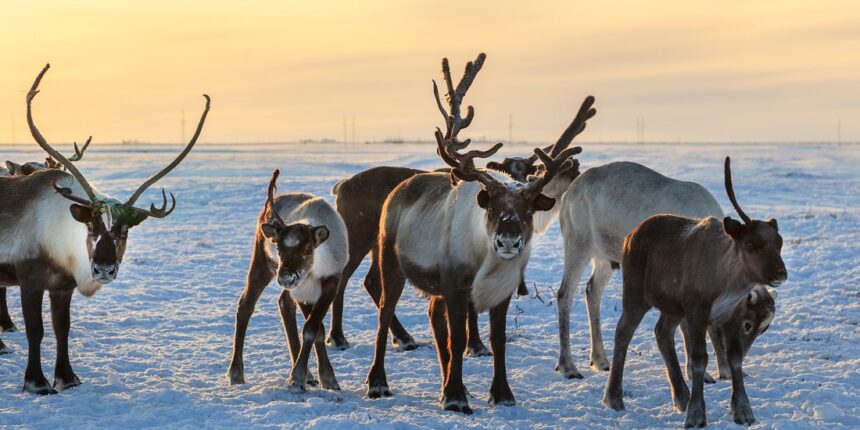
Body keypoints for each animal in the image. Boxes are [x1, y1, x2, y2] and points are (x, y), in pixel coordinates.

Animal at [227, 170, 348, 392]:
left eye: (308, 248)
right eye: (279, 248)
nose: (285, 277)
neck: (316, 269)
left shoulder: (331, 283)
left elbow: (313, 329)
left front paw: (324, 378)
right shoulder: (301, 290)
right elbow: (314, 330)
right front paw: (298, 378)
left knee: (283, 303)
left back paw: (309, 374)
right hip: (262, 263)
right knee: (246, 305)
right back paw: (236, 373)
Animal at [326, 148, 582, 355]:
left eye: (528, 174)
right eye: (506, 170)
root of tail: (343, 185)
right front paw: (475, 345)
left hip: (378, 246)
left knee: (371, 282)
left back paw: (404, 337)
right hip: (356, 238)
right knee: (343, 279)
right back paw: (338, 337)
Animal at [365, 53, 594, 414]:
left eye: (528, 211)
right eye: (493, 207)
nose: (508, 240)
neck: (485, 261)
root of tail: (398, 189)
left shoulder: (502, 291)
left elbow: (497, 340)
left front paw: (500, 393)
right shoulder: (455, 284)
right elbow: (458, 338)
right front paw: (456, 397)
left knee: (433, 316)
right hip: (391, 260)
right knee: (385, 313)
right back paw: (378, 382)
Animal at [555, 160, 778, 382]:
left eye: (764, 328)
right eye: (747, 324)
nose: (740, 357)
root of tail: (571, 189)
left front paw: (723, 370)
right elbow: (689, 325)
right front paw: (700, 373)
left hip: (606, 257)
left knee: (592, 291)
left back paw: (600, 360)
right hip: (579, 244)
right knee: (564, 294)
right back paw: (568, 366)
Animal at [603, 157, 788, 427]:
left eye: (779, 242)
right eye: (751, 244)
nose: (780, 273)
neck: (726, 283)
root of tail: (630, 235)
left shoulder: (731, 313)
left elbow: (734, 357)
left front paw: (743, 411)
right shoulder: (697, 311)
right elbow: (700, 359)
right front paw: (697, 415)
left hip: (672, 308)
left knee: (662, 332)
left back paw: (681, 397)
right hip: (636, 295)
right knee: (623, 332)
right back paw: (614, 398)